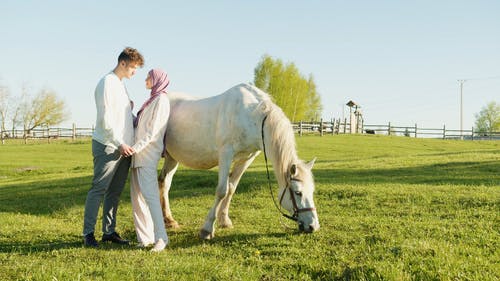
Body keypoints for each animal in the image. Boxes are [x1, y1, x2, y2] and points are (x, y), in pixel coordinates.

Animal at [158, 82, 318, 237]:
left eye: (312, 190)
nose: (313, 226)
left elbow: (231, 188)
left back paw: (169, 220)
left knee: (164, 182)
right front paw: (207, 228)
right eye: (298, 192)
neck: (252, 116)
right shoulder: (226, 155)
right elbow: (222, 190)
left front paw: (224, 220)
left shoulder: (246, 159)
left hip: (172, 157)